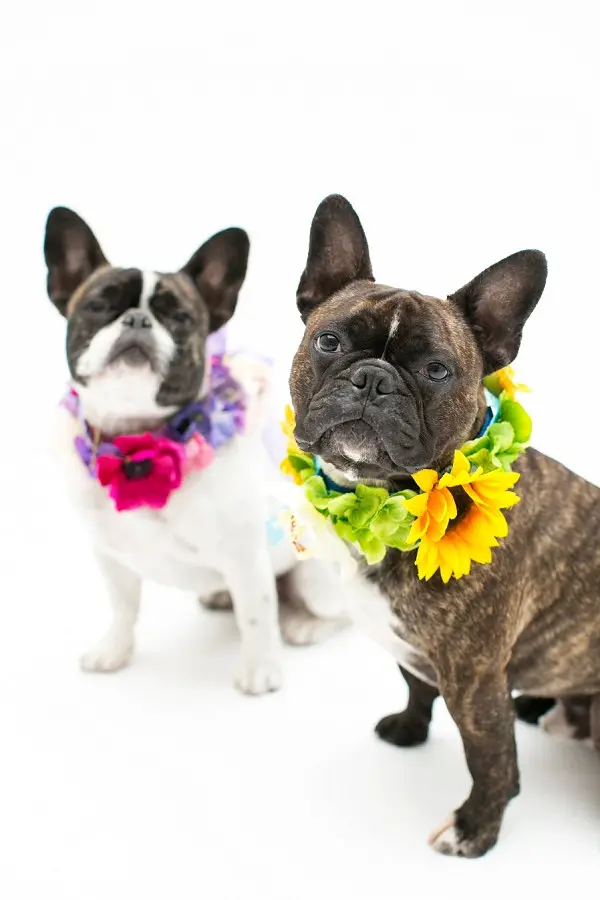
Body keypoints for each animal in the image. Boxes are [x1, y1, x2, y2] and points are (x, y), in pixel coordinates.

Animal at [288, 195, 600, 856]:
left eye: (436, 370)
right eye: (328, 340)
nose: (372, 378)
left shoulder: (474, 679)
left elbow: (492, 759)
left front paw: (475, 829)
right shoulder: (418, 652)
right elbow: (414, 683)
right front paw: (408, 729)